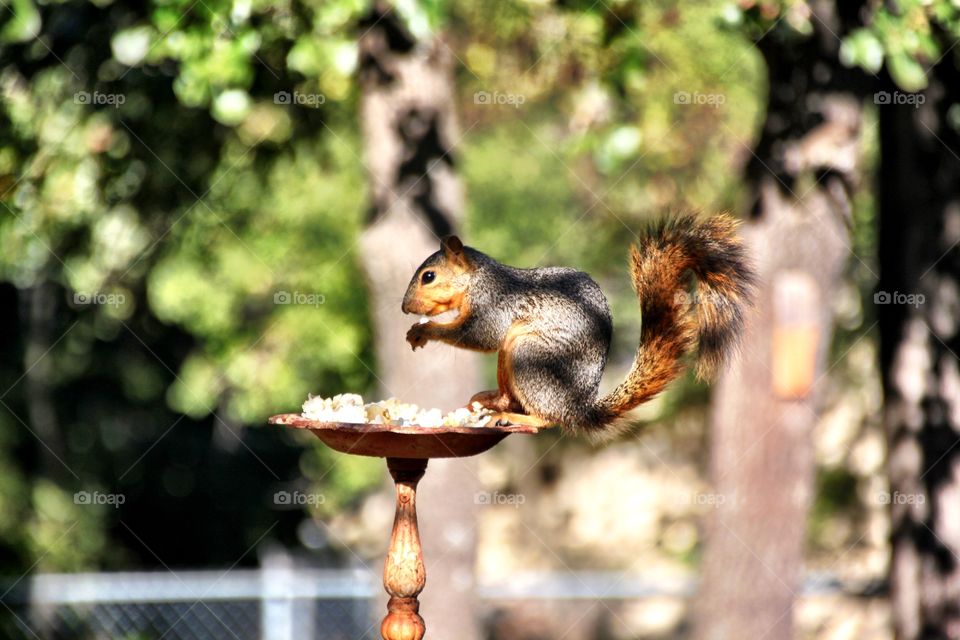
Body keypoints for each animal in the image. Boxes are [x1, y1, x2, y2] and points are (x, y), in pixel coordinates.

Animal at [401, 214, 756, 440]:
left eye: (428, 276)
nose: (405, 308)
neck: (476, 279)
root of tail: (579, 409)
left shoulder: (493, 305)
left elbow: (477, 334)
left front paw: (424, 330)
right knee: (516, 399)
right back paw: (493, 401)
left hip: (528, 355)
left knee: (546, 419)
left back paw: (512, 415)